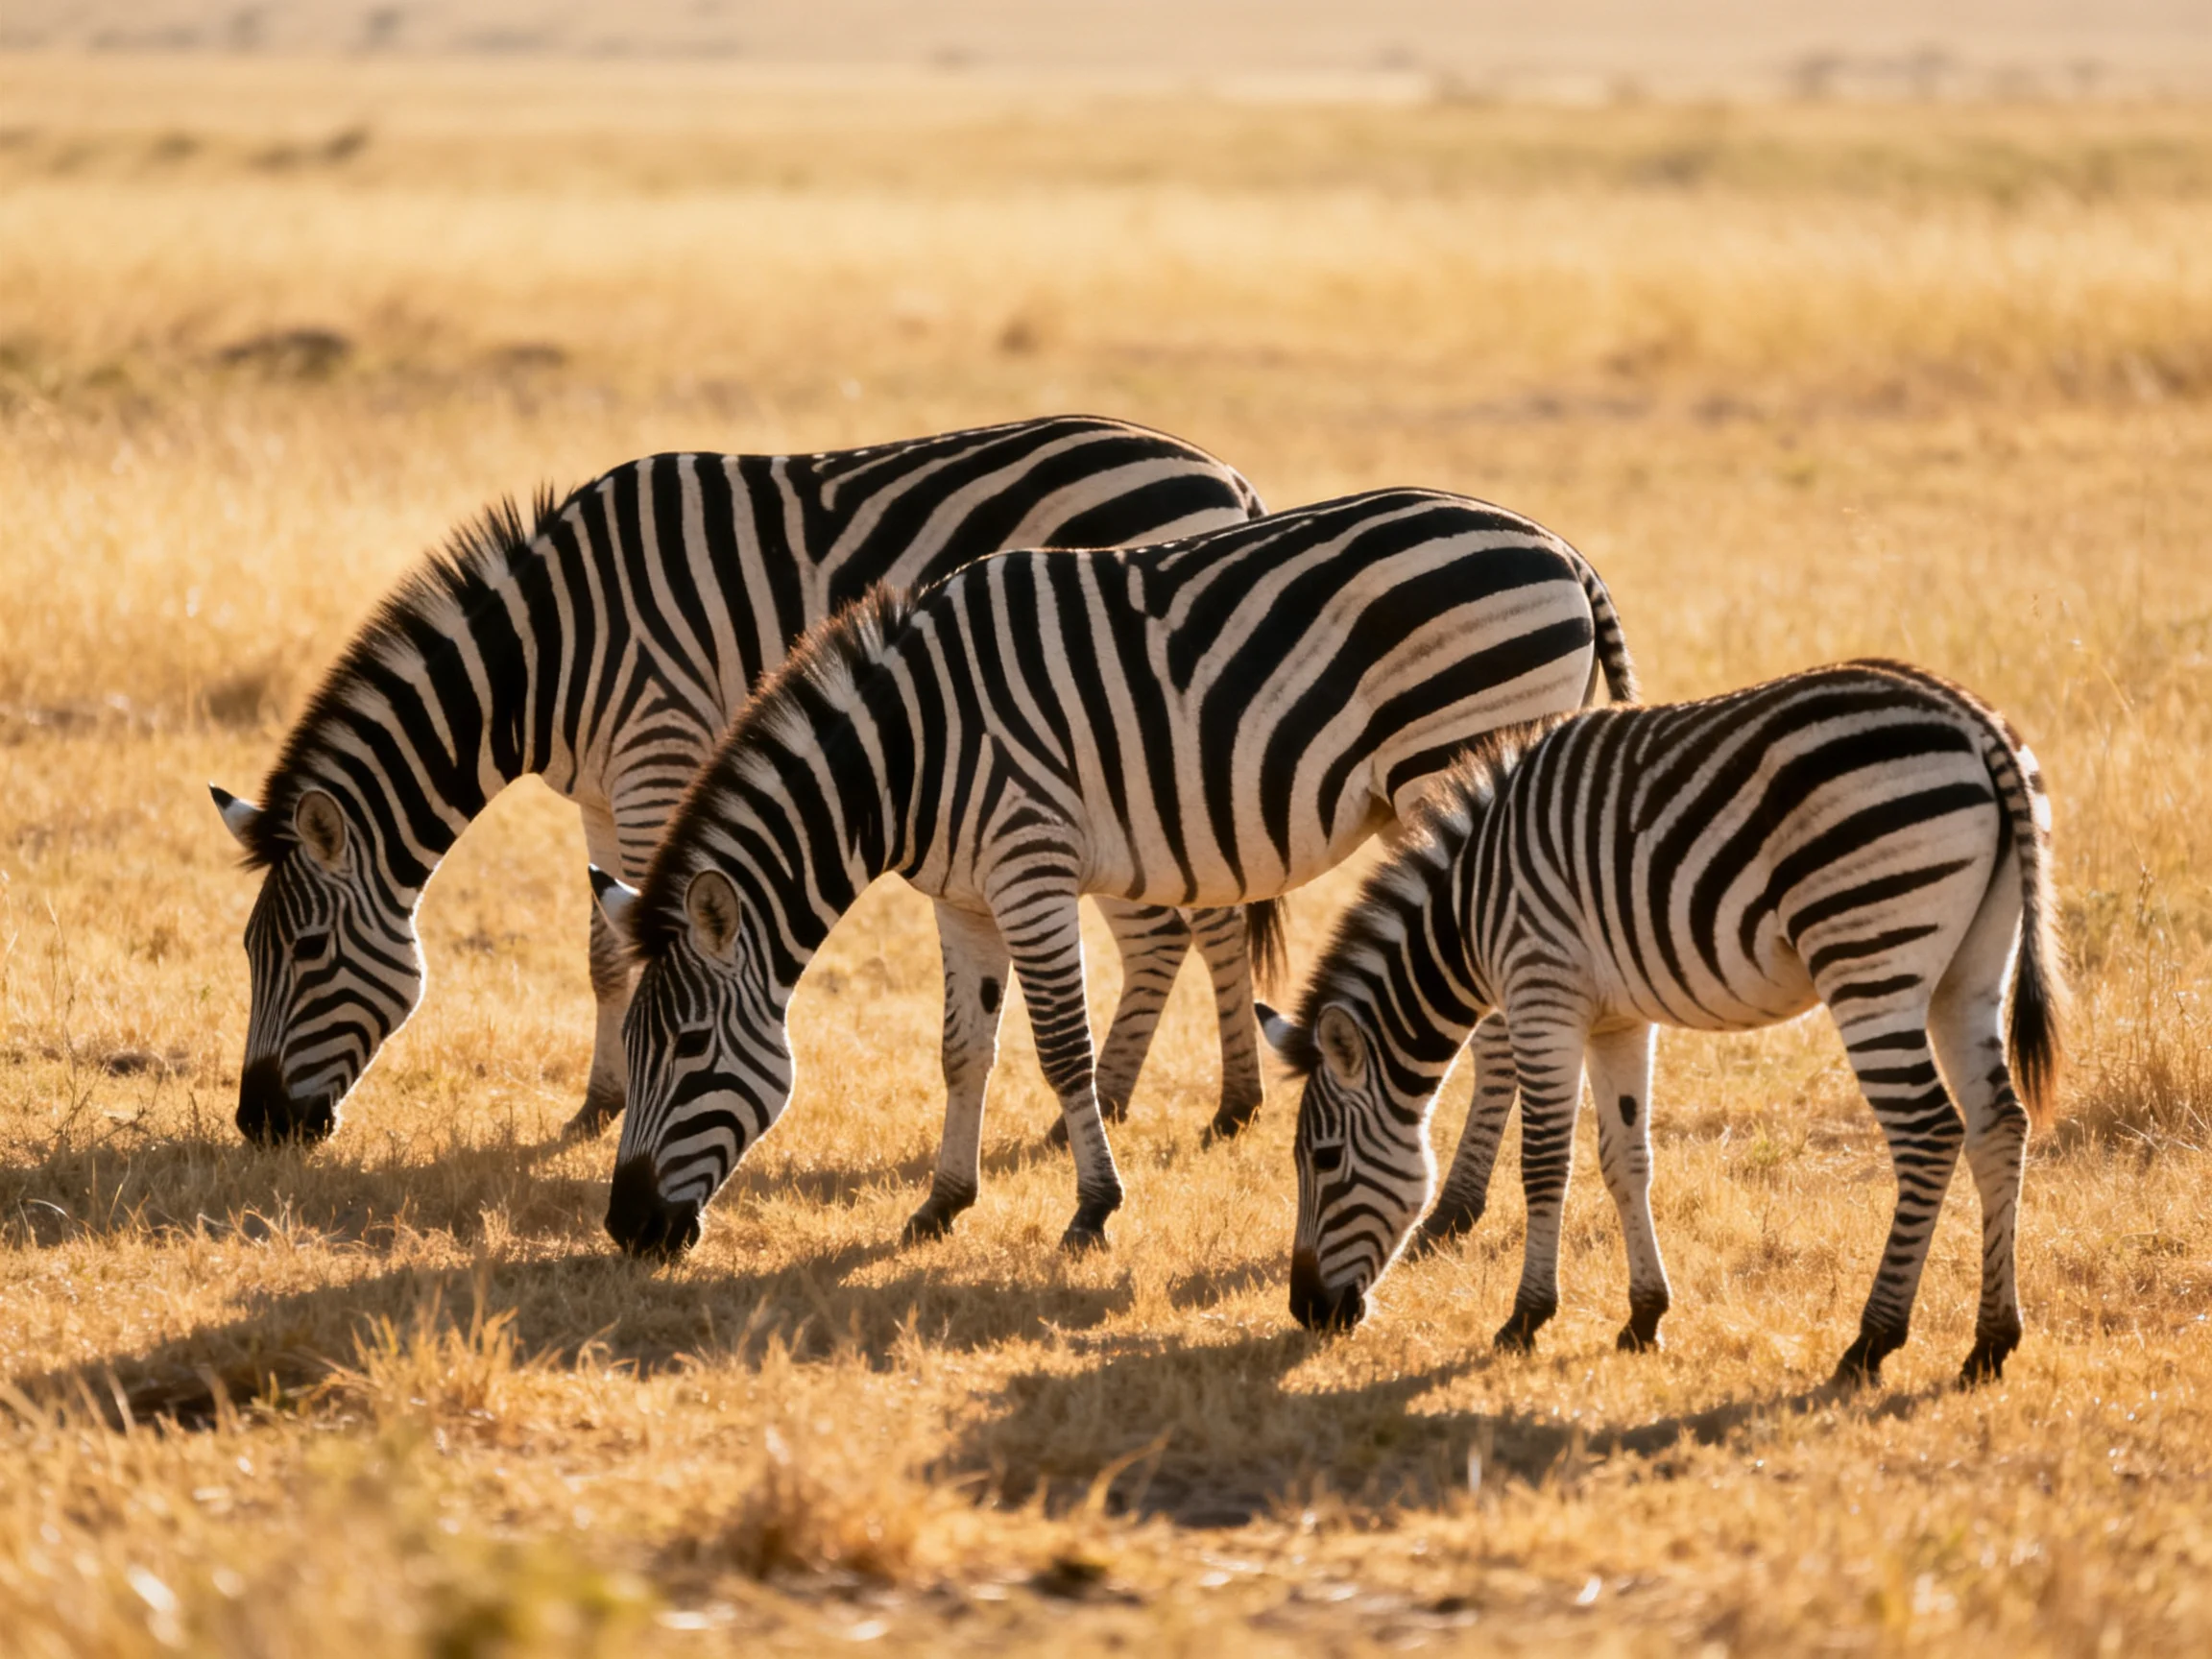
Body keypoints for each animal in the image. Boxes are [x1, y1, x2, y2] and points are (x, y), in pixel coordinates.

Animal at [206, 416, 1280, 1151]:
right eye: (250, 953)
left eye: (303, 950)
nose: (258, 1126)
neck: (544, 650)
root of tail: (1223, 473)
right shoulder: (600, 793)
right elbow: (601, 952)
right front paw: (597, 1105)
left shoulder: (658, 751)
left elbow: (635, 942)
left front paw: (624, 1101)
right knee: (1201, 922)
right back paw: (1203, 1103)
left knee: (1181, 930)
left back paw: (1144, 1109)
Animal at [589, 487, 1639, 1258]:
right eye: (632, 1045)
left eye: (687, 1047)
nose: (627, 1230)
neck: (908, 752)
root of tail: (1560, 548)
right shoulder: (962, 897)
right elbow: (963, 1046)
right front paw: (941, 1204)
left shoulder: (1030, 867)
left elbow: (1061, 1049)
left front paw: (1091, 1209)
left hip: (1454, 767)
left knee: (1496, 1031)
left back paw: (1456, 1208)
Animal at [1259, 660, 2065, 1387]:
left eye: (1324, 1160)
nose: (1307, 1312)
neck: (1469, 907)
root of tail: (1977, 722)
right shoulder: (1618, 1020)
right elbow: (1626, 1159)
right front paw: (1643, 1317)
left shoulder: (1542, 991)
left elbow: (1544, 1163)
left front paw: (1526, 1319)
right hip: (1969, 971)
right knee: (1999, 1124)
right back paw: (1990, 1343)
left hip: (1870, 959)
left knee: (1929, 1134)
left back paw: (1873, 1341)